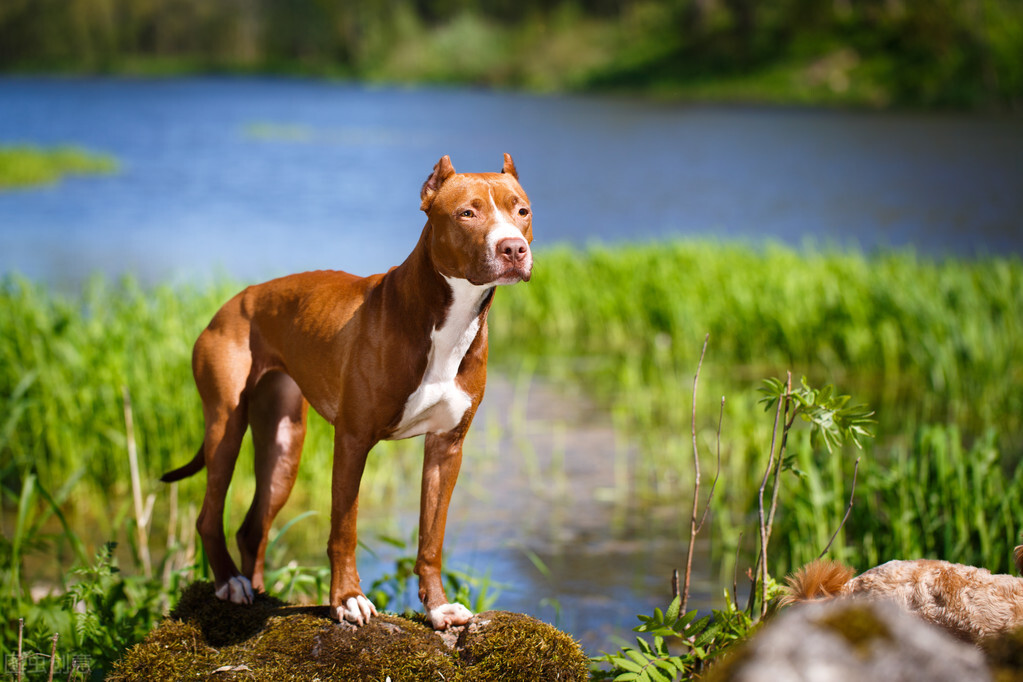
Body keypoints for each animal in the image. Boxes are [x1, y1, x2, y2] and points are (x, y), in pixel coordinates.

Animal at [159, 153, 536, 629]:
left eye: (521, 211)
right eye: (467, 213)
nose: (513, 248)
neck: (445, 316)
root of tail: (233, 303)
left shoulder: (446, 447)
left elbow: (432, 537)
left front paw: (437, 607)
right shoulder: (353, 440)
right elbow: (344, 527)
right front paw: (347, 599)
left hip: (284, 445)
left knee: (253, 526)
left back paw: (259, 591)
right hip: (225, 427)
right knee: (209, 514)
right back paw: (231, 584)